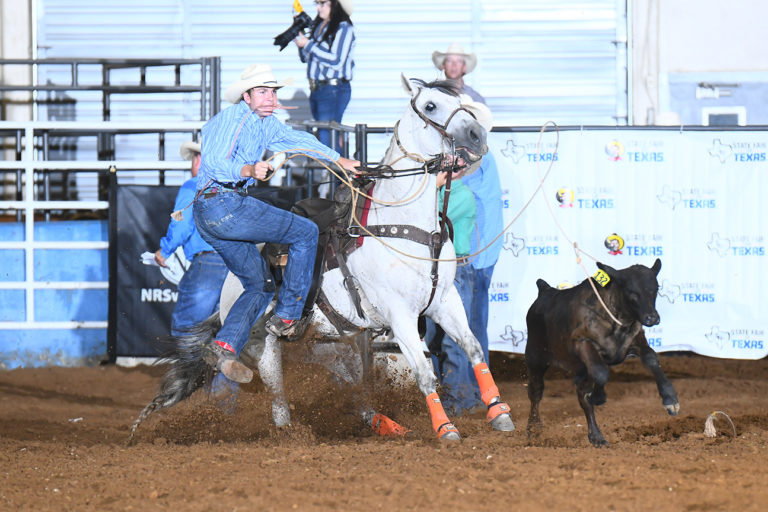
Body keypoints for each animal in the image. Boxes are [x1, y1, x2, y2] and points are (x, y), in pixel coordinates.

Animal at [129, 76, 512, 444]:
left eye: (459, 101)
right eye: (431, 105)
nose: (477, 135)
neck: (404, 224)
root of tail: (230, 288)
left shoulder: (445, 301)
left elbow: (475, 349)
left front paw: (499, 412)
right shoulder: (399, 313)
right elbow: (425, 373)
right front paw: (446, 429)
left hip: (335, 347)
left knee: (356, 395)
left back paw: (387, 426)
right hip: (266, 350)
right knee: (279, 401)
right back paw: (289, 430)